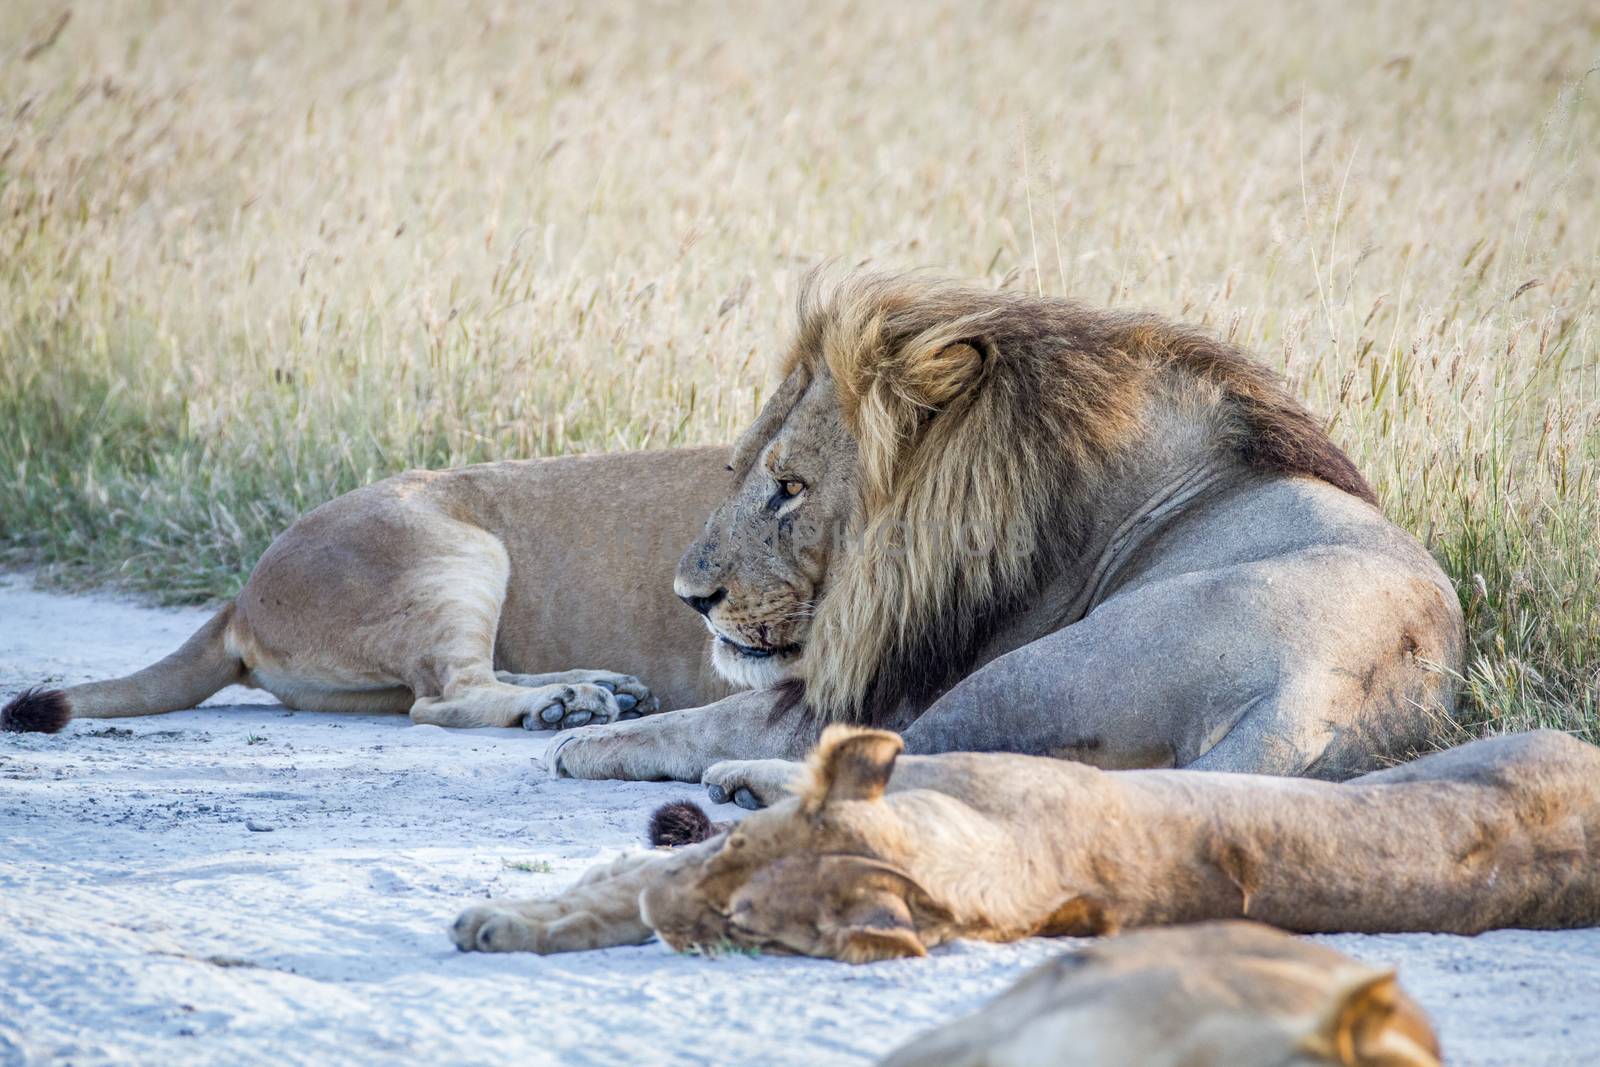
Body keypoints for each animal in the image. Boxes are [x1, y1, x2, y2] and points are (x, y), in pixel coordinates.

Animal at [1, 447, 732, 735]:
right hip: (458, 553)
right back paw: (569, 704)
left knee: (449, 682)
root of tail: (240, 599)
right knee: (446, 695)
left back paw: (609, 687)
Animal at [547, 273, 1465, 793]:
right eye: (741, 471)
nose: (691, 598)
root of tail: (1321, 696)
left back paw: (743, 782)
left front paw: (587, 739)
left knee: (906, 758)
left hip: (1035, 669)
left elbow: (711, 716)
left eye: (790, 489)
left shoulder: (886, 681)